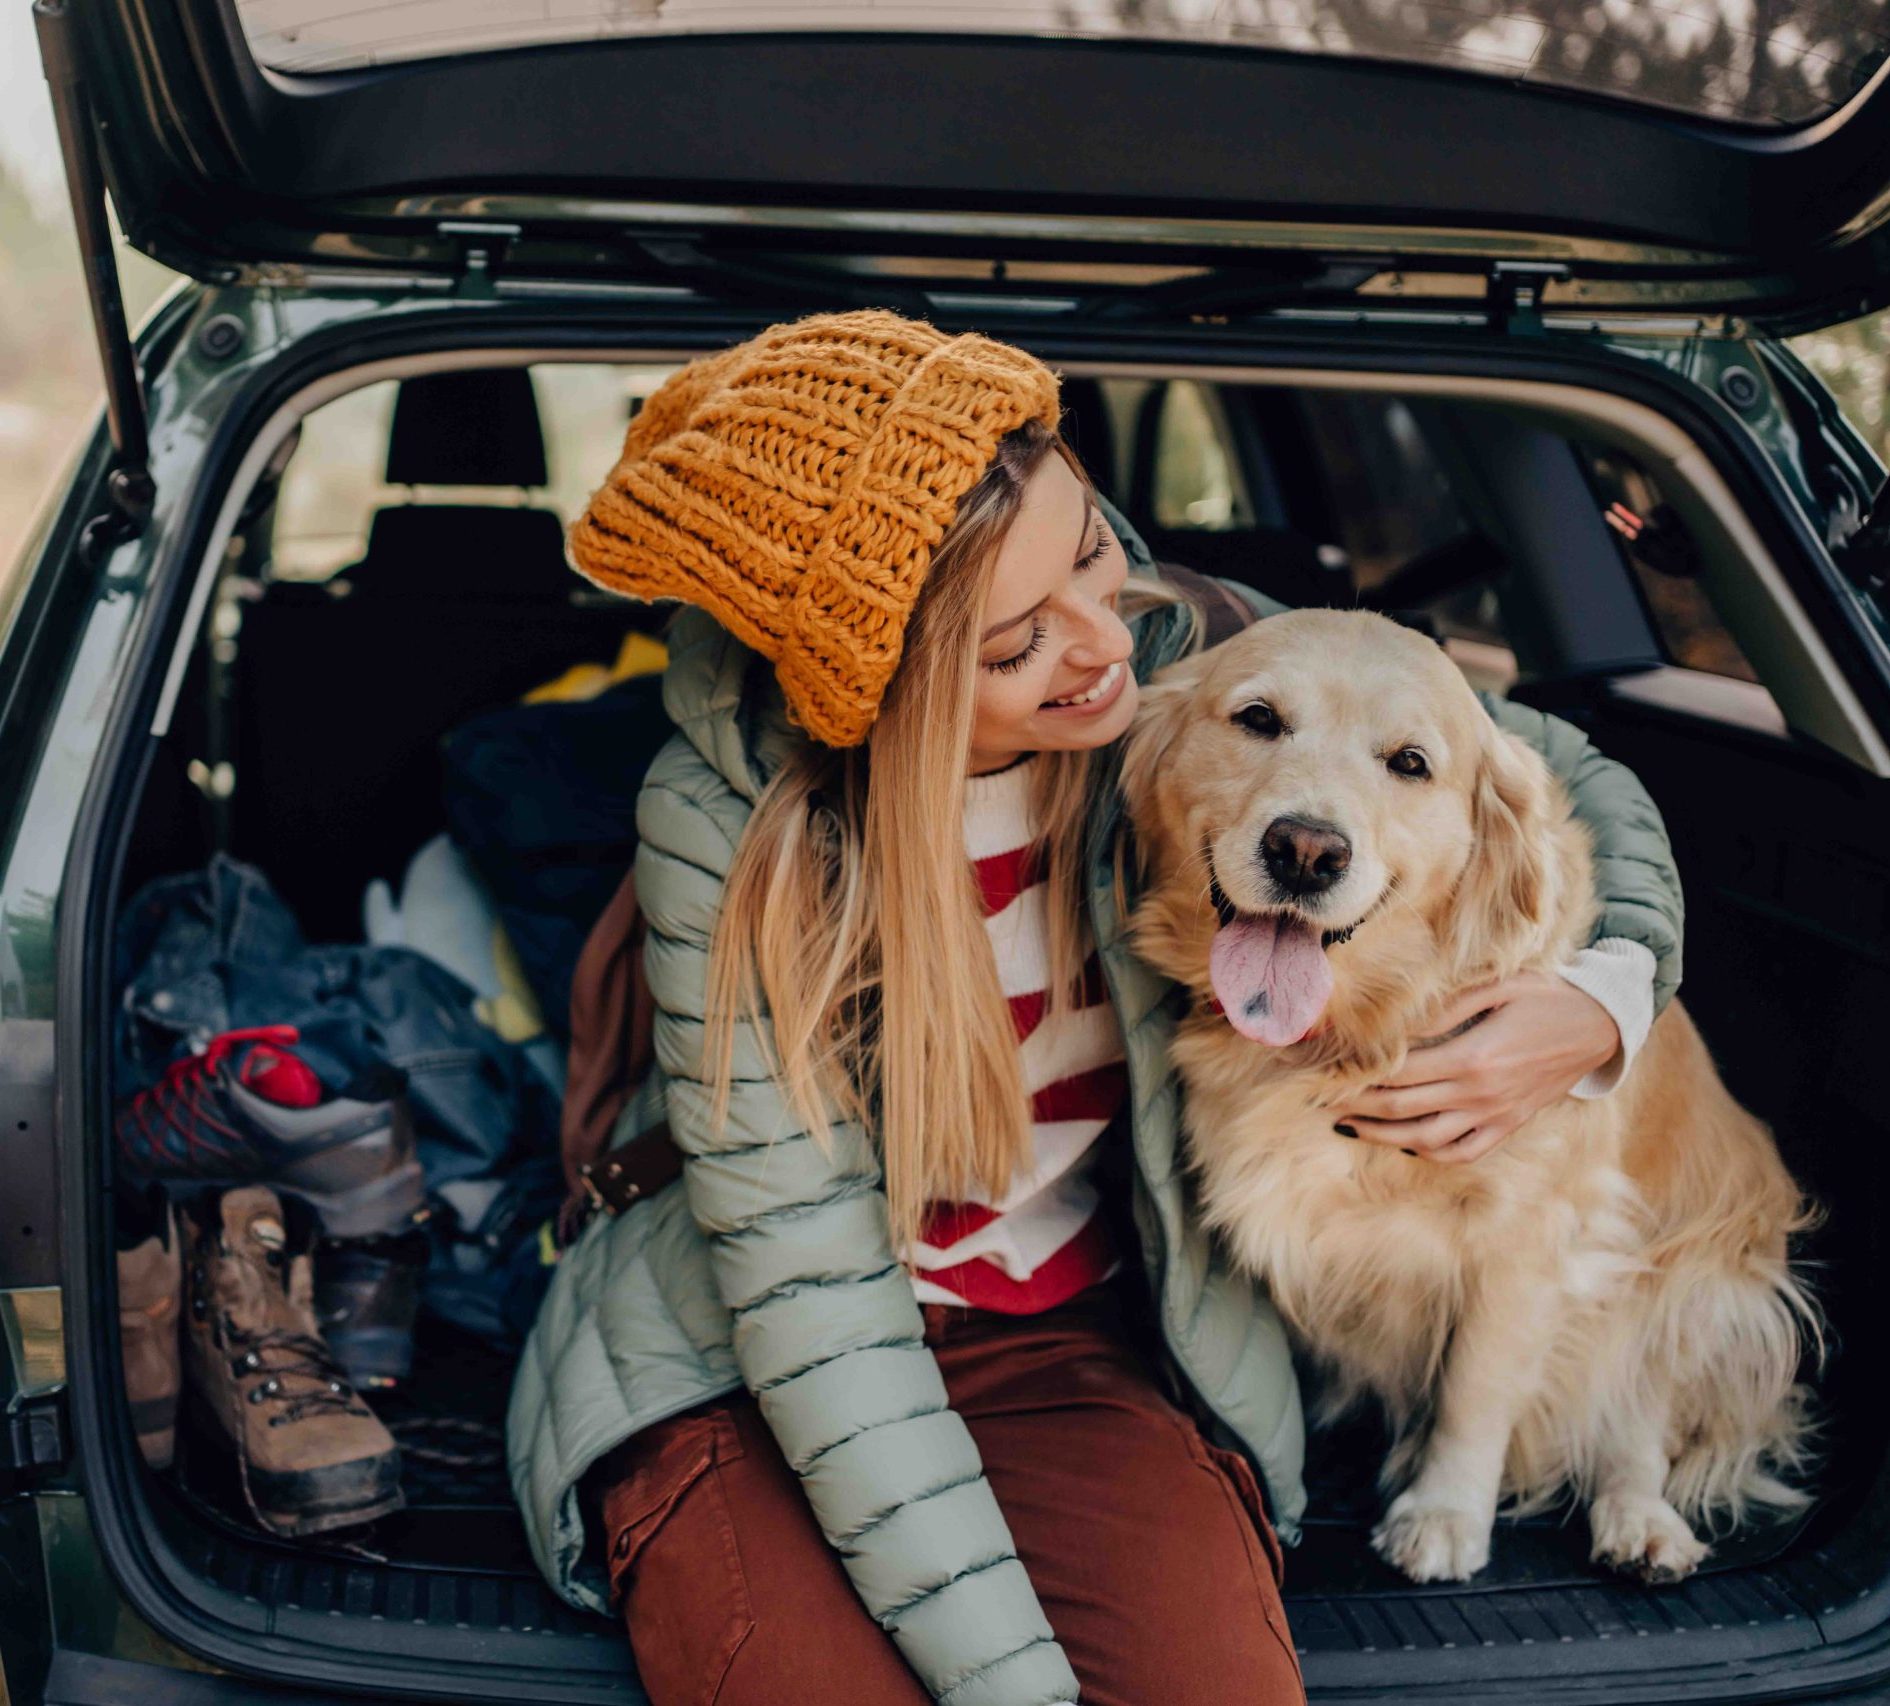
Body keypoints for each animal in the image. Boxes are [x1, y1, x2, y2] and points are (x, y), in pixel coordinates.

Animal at [1118, 608, 1814, 1579]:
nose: (1306, 851)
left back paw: (1641, 1523)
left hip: (1692, 1278)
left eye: (1411, 763)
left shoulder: (1534, 1237)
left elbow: (1476, 1392)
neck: (1359, 1031)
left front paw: (1444, 1514)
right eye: (1257, 719)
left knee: (1636, 1415)